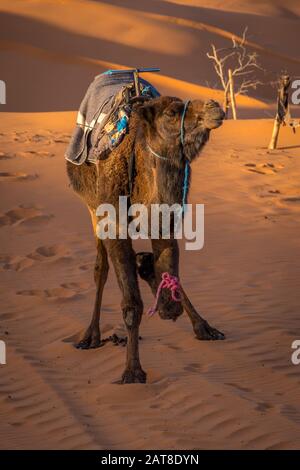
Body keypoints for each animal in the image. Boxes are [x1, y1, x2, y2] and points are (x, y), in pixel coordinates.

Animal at [66, 94, 225, 382]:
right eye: (172, 113)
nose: (215, 106)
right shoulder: (114, 225)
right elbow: (131, 304)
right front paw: (132, 370)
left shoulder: (165, 223)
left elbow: (171, 284)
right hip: (93, 208)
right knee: (100, 269)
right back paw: (90, 336)